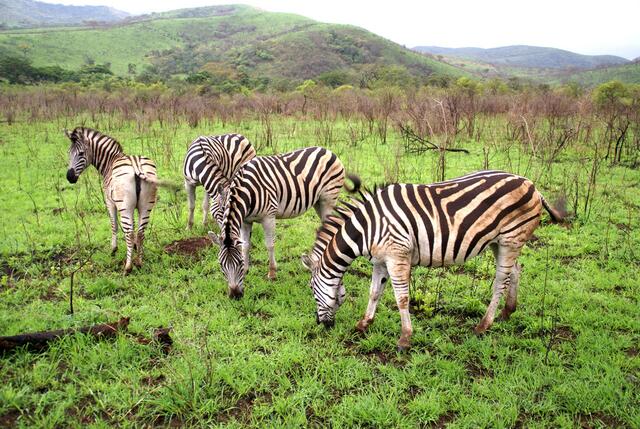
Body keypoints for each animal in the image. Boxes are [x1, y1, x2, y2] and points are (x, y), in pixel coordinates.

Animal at [65, 127, 170, 274]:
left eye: (81, 153)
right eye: (69, 153)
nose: (69, 177)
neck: (110, 162)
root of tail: (136, 164)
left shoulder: (110, 202)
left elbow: (114, 225)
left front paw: (113, 249)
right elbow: (134, 224)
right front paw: (135, 247)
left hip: (124, 206)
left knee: (129, 233)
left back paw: (128, 267)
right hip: (146, 205)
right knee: (140, 232)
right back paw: (139, 262)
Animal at [207, 146, 360, 299]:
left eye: (238, 263)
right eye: (221, 265)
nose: (235, 296)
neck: (246, 192)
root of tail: (328, 151)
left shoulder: (268, 216)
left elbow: (269, 245)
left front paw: (272, 273)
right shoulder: (245, 221)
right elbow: (245, 246)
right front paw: (246, 270)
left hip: (328, 198)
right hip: (318, 202)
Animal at [301, 170, 566, 351]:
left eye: (312, 289)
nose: (320, 324)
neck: (366, 228)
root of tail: (532, 185)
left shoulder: (398, 255)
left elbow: (401, 298)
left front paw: (405, 339)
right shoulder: (380, 261)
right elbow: (374, 292)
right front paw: (364, 324)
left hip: (511, 239)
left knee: (502, 279)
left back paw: (483, 325)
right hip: (499, 242)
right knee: (516, 270)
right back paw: (507, 312)